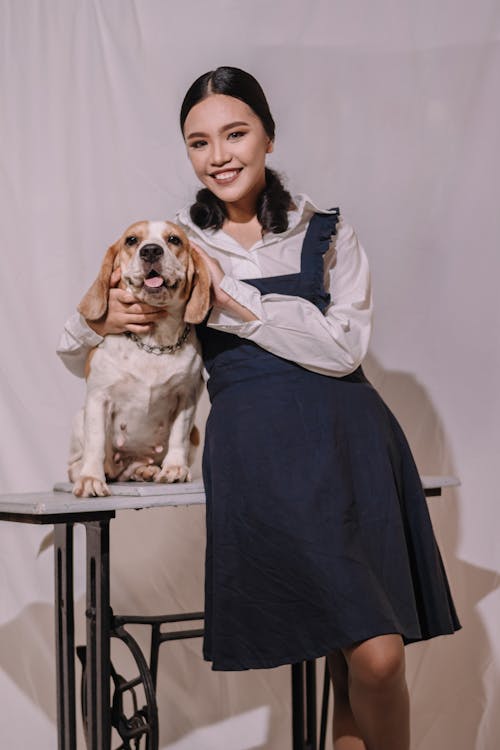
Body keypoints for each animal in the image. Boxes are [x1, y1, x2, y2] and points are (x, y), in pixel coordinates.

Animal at [68, 220, 209, 500]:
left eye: (174, 239)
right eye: (132, 240)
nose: (151, 251)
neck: (153, 342)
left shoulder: (187, 397)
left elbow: (178, 435)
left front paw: (175, 468)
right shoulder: (98, 398)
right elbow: (96, 441)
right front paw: (91, 479)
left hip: (195, 435)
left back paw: (146, 470)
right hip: (80, 416)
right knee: (77, 464)